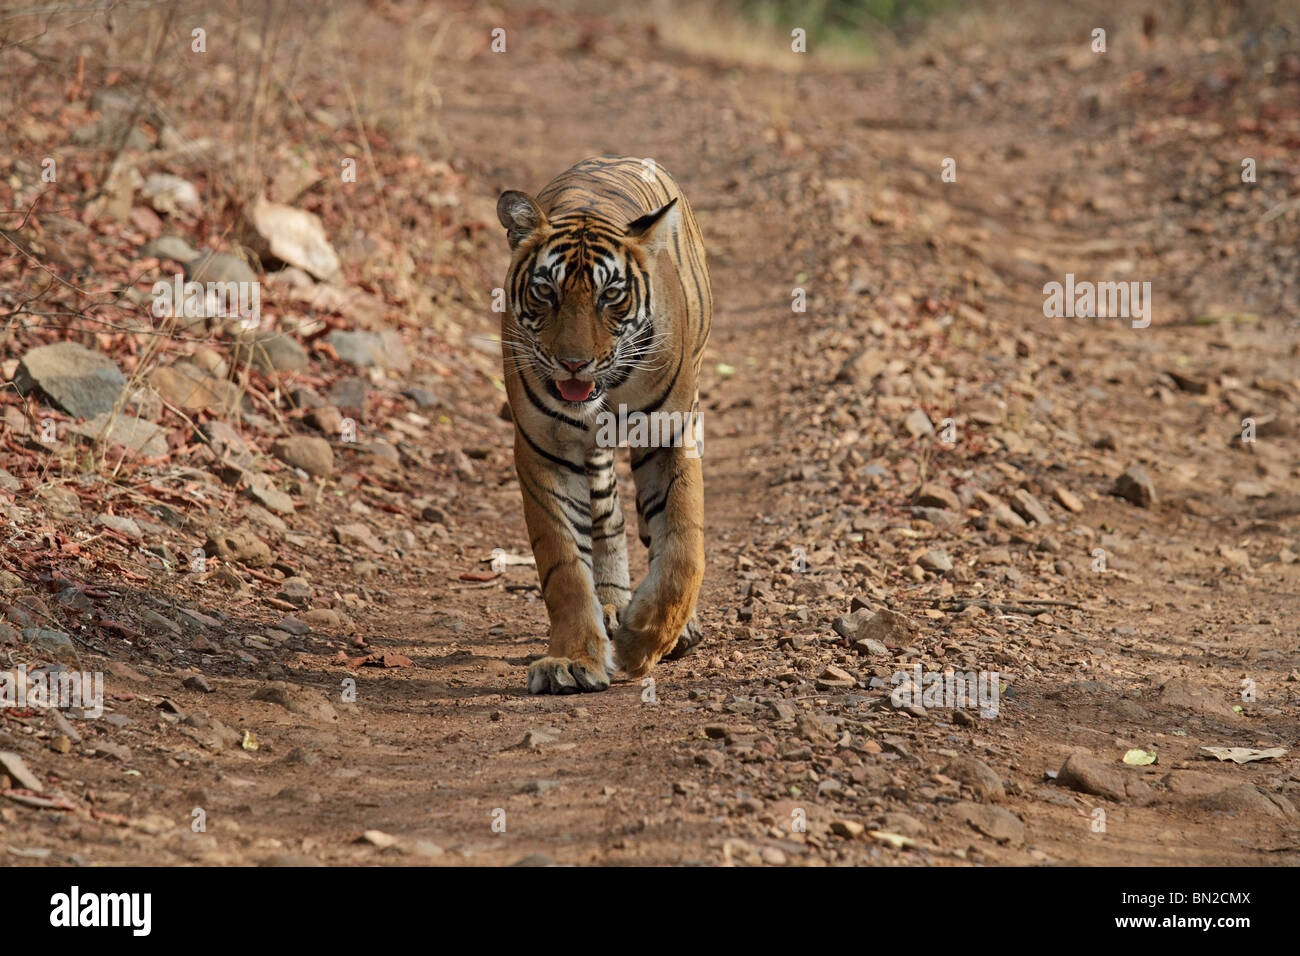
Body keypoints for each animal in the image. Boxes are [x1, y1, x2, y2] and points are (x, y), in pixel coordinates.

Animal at [493, 157, 712, 697]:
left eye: (611, 296)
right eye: (545, 292)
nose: (574, 364)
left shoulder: (669, 434)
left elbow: (682, 548)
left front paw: (643, 642)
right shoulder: (545, 449)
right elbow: (565, 566)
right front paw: (572, 661)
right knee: (607, 518)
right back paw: (613, 605)